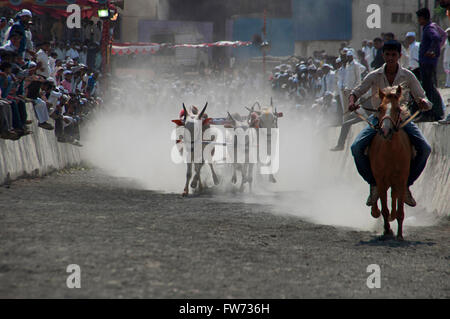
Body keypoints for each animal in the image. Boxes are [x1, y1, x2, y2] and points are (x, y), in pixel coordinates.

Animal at [370, 86, 412, 241]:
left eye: (398, 109)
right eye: (379, 108)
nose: (386, 130)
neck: (391, 151)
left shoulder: (402, 178)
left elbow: (400, 209)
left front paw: (399, 235)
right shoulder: (380, 179)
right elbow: (384, 208)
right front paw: (387, 231)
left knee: (394, 195)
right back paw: (374, 209)